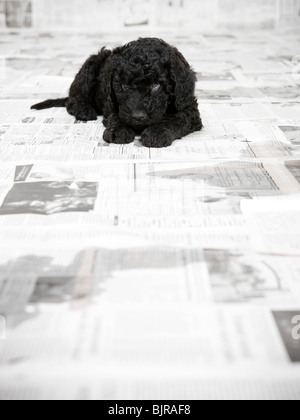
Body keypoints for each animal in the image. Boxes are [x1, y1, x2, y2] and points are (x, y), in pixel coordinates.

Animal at [31, 37, 203, 148]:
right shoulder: (112, 104)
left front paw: (157, 132)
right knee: (72, 98)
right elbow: (117, 116)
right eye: (124, 86)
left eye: (156, 86)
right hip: (92, 64)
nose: (138, 117)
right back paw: (84, 110)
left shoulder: (189, 108)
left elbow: (176, 119)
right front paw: (118, 131)